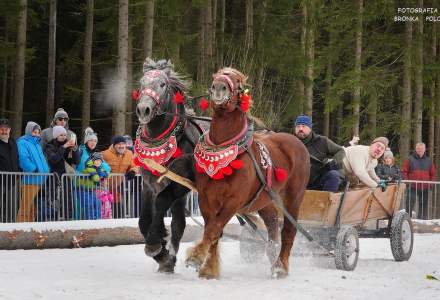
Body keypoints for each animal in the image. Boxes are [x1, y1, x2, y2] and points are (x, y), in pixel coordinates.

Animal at [186, 67, 310, 278]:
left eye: (237, 81)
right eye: (215, 76)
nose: (218, 86)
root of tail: (297, 141)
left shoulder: (233, 201)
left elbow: (214, 229)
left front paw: (196, 257)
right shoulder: (205, 198)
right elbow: (213, 231)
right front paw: (209, 269)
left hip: (294, 198)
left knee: (288, 230)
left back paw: (280, 266)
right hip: (265, 199)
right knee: (272, 225)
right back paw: (272, 256)